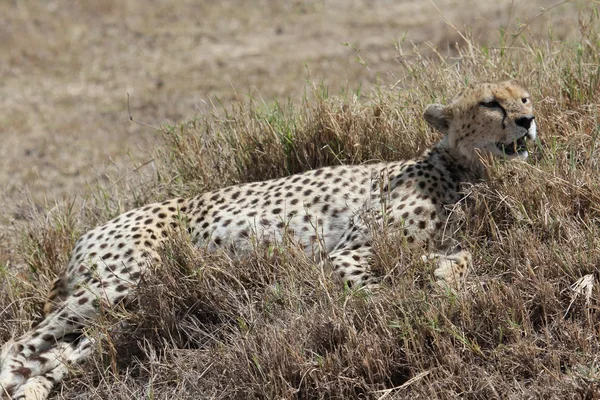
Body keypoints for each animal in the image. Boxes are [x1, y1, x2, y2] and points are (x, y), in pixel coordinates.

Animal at [0, 79, 536, 398]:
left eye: (525, 96)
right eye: (491, 103)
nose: (528, 120)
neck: (460, 169)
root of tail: (88, 232)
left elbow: (458, 259)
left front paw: (449, 286)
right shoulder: (346, 255)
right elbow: (383, 296)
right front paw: (413, 312)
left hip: (120, 315)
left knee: (58, 353)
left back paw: (32, 386)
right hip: (120, 281)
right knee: (18, 343)